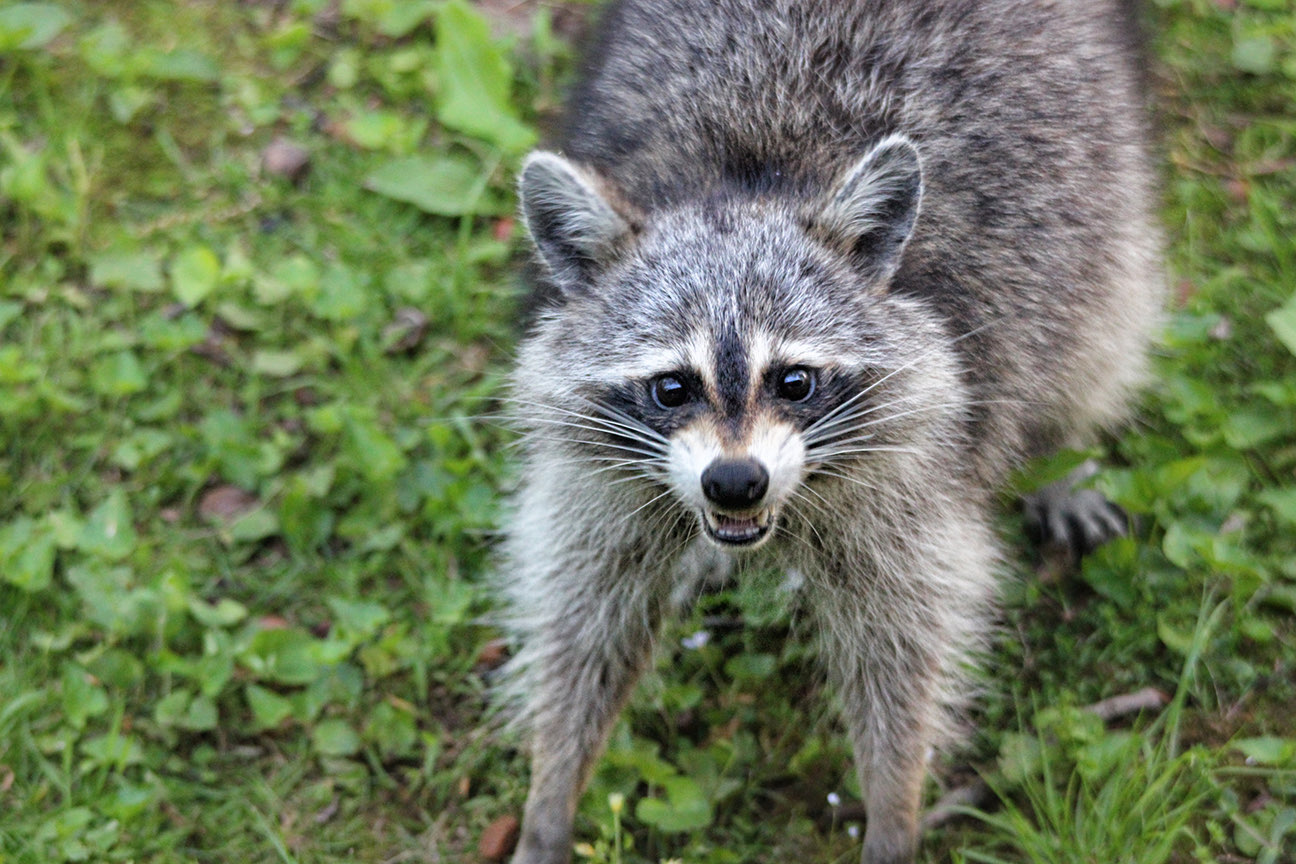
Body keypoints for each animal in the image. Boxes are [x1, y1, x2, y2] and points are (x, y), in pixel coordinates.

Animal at [495, 1, 1162, 862]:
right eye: (672, 388)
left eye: (795, 382)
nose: (734, 483)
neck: (746, 182)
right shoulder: (603, 478)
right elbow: (585, 616)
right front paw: (551, 789)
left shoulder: (914, 467)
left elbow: (904, 639)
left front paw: (894, 804)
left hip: (1095, 179)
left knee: (1096, 330)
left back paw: (1064, 453)